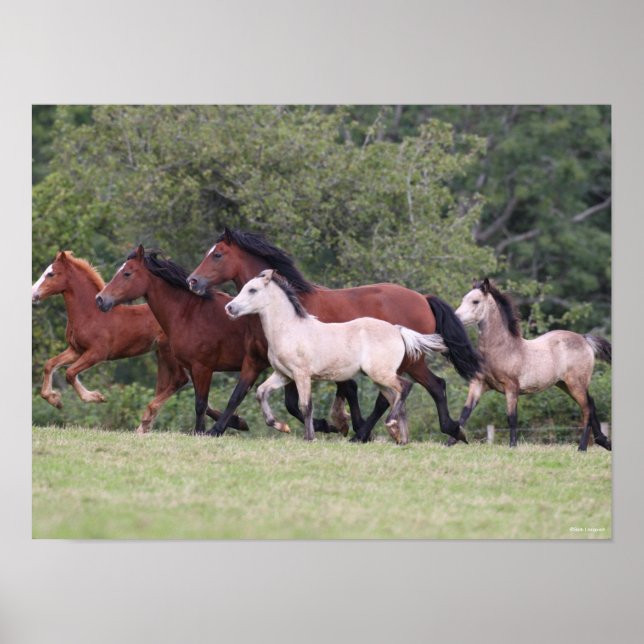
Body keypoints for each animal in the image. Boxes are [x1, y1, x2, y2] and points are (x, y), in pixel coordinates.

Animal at [31, 251, 245, 433]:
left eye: (51, 274)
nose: (33, 294)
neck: (90, 314)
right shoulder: (76, 350)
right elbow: (50, 365)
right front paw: (54, 399)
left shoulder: (97, 353)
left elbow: (69, 373)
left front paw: (96, 397)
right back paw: (237, 422)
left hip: (167, 352)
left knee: (179, 380)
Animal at [96, 245, 362, 436]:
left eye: (127, 273)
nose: (101, 299)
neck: (188, 313)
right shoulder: (194, 368)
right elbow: (206, 402)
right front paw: (238, 423)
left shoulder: (204, 367)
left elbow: (201, 403)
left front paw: (203, 431)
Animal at [226, 269, 449, 443]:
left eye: (252, 290)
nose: (229, 308)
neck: (290, 329)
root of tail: (398, 330)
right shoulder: (283, 375)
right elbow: (261, 392)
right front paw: (281, 426)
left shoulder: (302, 375)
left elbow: (305, 406)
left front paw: (309, 437)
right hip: (380, 378)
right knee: (395, 397)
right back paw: (401, 438)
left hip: (381, 374)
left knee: (405, 387)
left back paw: (391, 425)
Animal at [454, 278, 612, 451]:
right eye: (463, 299)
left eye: (475, 301)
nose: (455, 317)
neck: (502, 349)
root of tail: (584, 339)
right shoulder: (478, 384)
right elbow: (464, 413)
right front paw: (449, 443)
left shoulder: (511, 387)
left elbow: (512, 418)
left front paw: (513, 446)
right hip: (565, 385)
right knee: (591, 404)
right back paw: (603, 442)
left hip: (576, 384)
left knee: (587, 410)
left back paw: (582, 448)